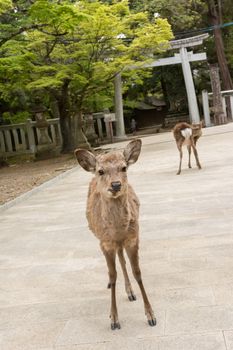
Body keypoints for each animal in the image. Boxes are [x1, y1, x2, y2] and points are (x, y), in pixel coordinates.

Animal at [75, 139, 156, 328]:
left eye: (124, 167)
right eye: (101, 171)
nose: (116, 184)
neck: (118, 230)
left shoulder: (133, 238)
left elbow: (137, 272)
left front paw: (151, 315)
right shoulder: (105, 243)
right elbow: (112, 276)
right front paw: (114, 319)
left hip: (121, 244)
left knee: (122, 261)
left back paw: (130, 292)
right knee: (117, 265)